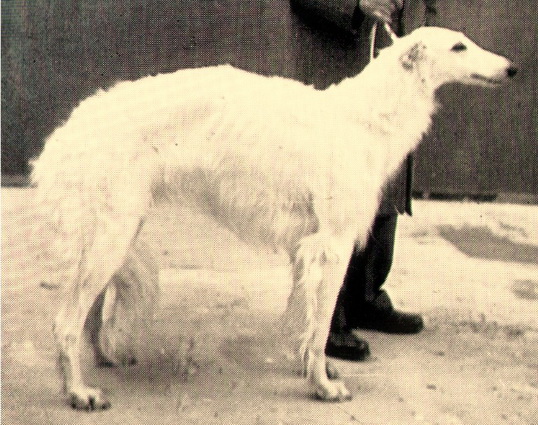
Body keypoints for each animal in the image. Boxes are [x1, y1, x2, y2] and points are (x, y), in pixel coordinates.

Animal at [31, 26, 516, 410]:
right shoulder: (333, 244)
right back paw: (79, 392)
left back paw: (105, 359)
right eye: (458, 46)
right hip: (113, 231)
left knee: (90, 312)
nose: (512, 69)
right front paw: (323, 385)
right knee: (66, 322)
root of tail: (78, 121)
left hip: (118, 230)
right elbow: (321, 324)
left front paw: (315, 370)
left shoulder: (307, 248)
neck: (365, 116)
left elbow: (304, 319)